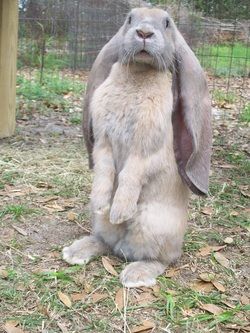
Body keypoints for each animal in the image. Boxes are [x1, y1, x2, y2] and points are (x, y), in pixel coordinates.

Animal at [62, 6, 211, 286]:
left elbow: (131, 174)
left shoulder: (145, 151)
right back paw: (75, 251)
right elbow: (104, 170)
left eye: (167, 22)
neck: (139, 72)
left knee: (161, 259)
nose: (143, 32)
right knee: (105, 242)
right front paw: (102, 203)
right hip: (103, 226)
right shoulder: (104, 143)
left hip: (152, 225)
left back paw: (135, 275)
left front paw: (120, 211)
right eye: (129, 19)